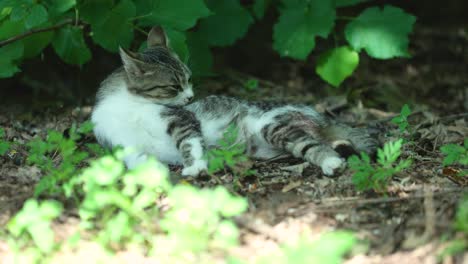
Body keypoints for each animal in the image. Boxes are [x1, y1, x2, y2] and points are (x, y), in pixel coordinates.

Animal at [92, 26, 380, 177]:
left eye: (189, 79)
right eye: (174, 86)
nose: (191, 97)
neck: (128, 106)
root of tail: (318, 112)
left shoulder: (180, 118)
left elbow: (188, 142)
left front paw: (194, 166)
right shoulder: (120, 143)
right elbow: (134, 159)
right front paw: (152, 173)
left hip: (272, 126)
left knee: (313, 145)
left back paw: (331, 162)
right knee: (327, 141)